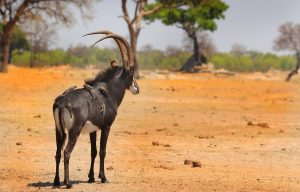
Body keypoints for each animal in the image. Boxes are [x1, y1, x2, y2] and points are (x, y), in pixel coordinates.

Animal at [52, 30, 139, 188]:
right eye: (131, 72)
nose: (137, 89)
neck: (108, 91)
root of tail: (62, 103)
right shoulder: (106, 127)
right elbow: (103, 151)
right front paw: (103, 178)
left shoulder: (93, 130)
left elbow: (93, 151)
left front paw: (91, 177)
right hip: (74, 131)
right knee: (67, 152)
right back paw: (68, 183)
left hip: (59, 130)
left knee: (58, 152)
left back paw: (56, 181)